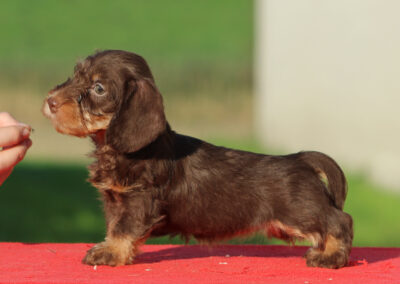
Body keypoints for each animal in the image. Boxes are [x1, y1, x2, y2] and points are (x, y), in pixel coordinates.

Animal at [41, 49, 354, 268]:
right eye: (75, 75)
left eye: (99, 88)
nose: (50, 101)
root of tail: (301, 159)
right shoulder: (115, 201)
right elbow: (113, 227)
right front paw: (114, 250)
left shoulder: (139, 200)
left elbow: (122, 228)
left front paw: (109, 253)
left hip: (301, 212)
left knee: (340, 220)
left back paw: (330, 256)